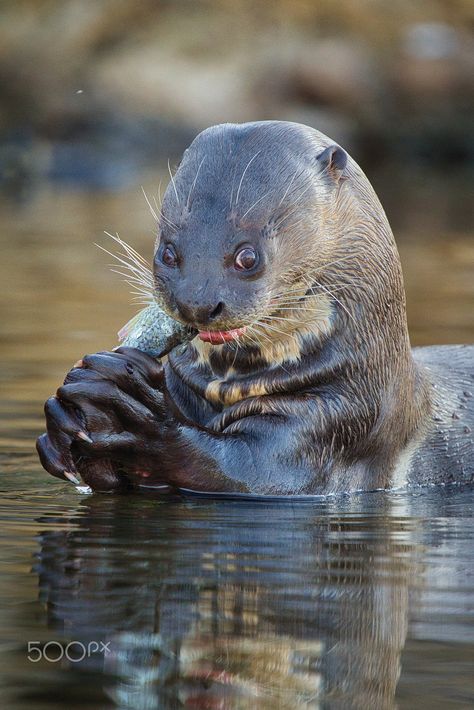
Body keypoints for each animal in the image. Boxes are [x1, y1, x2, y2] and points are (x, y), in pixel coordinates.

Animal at [37, 121, 474, 496]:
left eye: (247, 256)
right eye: (168, 251)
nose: (195, 303)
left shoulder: (339, 422)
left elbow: (244, 471)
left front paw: (129, 409)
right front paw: (66, 418)